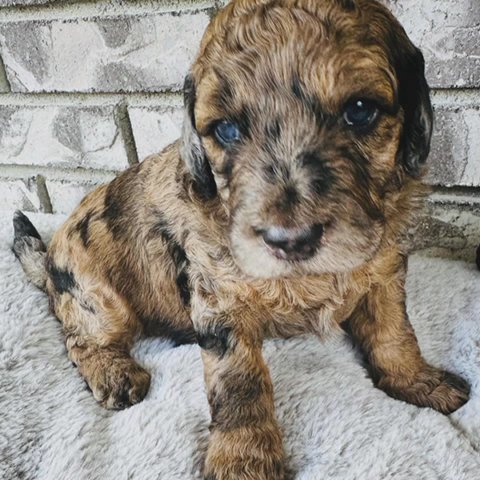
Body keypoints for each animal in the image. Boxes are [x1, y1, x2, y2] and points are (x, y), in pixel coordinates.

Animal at [11, 1, 468, 478]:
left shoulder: (384, 270)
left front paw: (416, 380)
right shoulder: (220, 298)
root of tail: (49, 261)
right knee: (79, 338)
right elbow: (238, 380)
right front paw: (244, 458)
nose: (290, 240)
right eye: (227, 131)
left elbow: (393, 329)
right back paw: (113, 373)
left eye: (360, 110)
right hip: (96, 296)